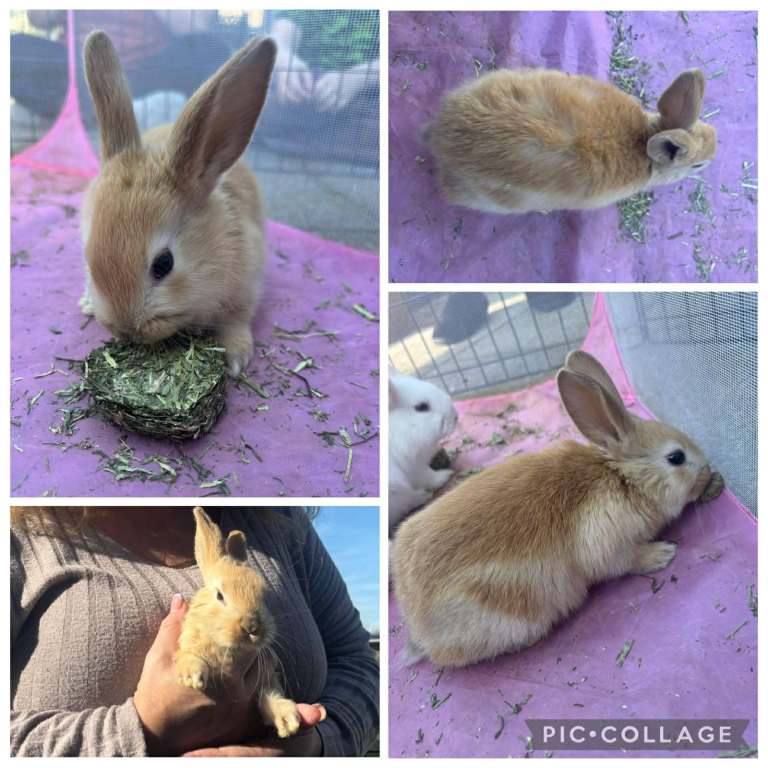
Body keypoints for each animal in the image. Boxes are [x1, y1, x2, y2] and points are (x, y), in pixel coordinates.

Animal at [79, 31, 277, 375]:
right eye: (88, 257)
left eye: (164, 264)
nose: (126, 330)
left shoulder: (246, 286)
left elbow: (236, 321)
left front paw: (236, 359)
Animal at [175, 507, 301, 738]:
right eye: (219, 596)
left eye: (263, 595)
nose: (252, 627)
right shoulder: (188, 644)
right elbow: (189, 657)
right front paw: (191, 678)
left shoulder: (267, 677)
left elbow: (270, 693)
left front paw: (287, 721)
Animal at [389, 369, 459, 534]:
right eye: (421, 407)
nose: (455, 417)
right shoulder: (415, 466)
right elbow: (429, 476)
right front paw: (446, 475)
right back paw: (423, 495)